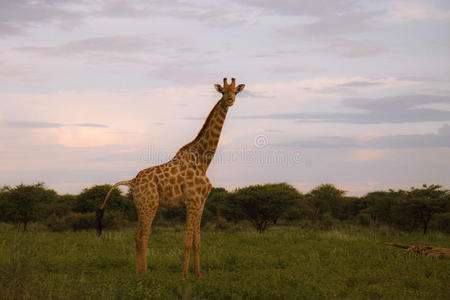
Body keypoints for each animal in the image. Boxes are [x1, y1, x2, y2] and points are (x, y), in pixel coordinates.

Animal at [96, 77, 246, 278]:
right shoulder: (191, 202)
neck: (202, 161)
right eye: (222, 91)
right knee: (143, 237)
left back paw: (139, 272)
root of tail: (133, 182)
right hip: (149, 204)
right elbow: (187, 241)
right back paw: (145, 274)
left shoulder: (201, 203)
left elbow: (197, 242)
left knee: (137, 236)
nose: (230, 100)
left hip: (141, 206)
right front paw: (184, 276)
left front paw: (198, 275)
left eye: (235, 91)